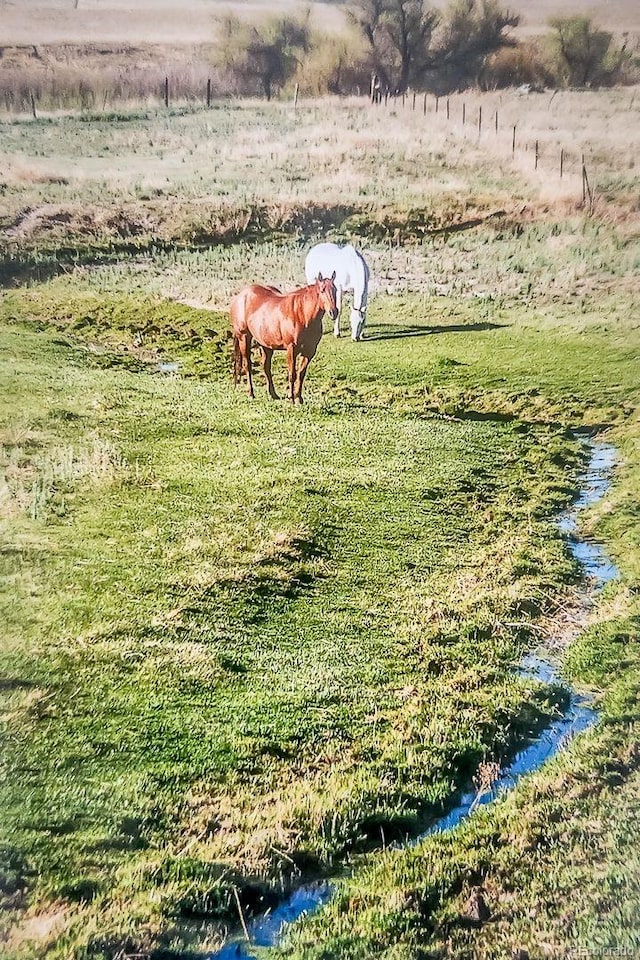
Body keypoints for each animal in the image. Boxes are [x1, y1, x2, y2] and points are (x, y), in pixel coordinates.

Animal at [231, 272, 340, 404]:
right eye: (322, 290)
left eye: (335, 290)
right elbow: (292, 374)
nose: (334, 312)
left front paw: (299, 398)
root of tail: (240, 296)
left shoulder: (309, 351)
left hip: (266, 345)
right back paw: (251, 393)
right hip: (244, 337)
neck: (302, 314)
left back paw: (273, 394)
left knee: (266, 367)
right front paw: (291, 399)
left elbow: (301, 374)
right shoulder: (291, 349)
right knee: (247, 365)